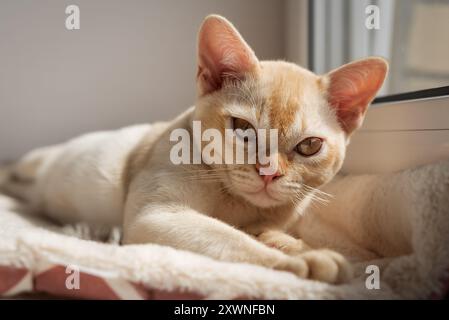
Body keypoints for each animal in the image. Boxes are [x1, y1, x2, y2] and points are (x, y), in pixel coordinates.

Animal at [0, 16, 386, 284]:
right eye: (242, 128)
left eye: (309, 145)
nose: (269, 173)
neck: (237, 205)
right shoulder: (156, 216)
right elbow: (234, 240)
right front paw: (299, 262)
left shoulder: (266, 222)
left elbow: (268, 235)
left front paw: (306, 250)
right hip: (37, 163)